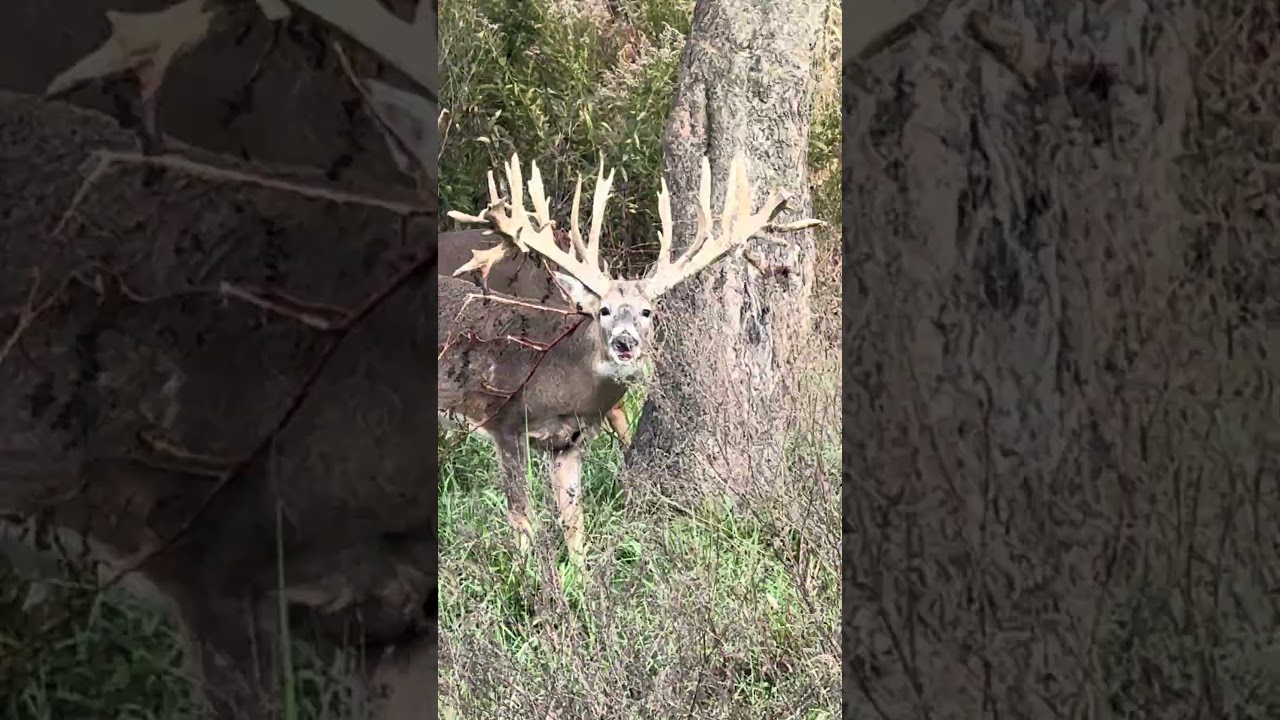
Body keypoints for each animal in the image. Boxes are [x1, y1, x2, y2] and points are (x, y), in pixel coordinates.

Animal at [437, 152, 821, 558]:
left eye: (647, 311)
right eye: (603, 310)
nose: (625, 342)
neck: (560, 389)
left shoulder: (570, 443)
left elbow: (574, 523)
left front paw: (579, 572)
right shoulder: (504, 422)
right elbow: (522, 519)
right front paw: (528, 572)